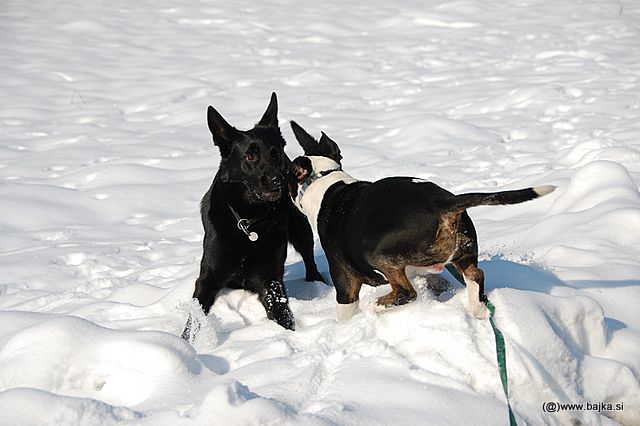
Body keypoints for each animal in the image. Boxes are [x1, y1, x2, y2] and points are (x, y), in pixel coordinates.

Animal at [181, 95, 324, 342]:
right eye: (250, 156)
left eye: (275, 153)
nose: (278, 180)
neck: (250, 221)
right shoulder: (208, 279)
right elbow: (194, 320)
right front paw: (184, 344)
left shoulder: (271, 280)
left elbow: (283, 316)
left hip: (300, 229)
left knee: (309, 258)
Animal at [288, 121, 552, 322]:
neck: (326, 183)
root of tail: (445, 202)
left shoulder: (345, 282)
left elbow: (345, 312)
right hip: (463, 251)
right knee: (476, 275)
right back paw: (478, 310)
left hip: (377, 251)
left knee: (407, 292)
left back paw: (378, 305)